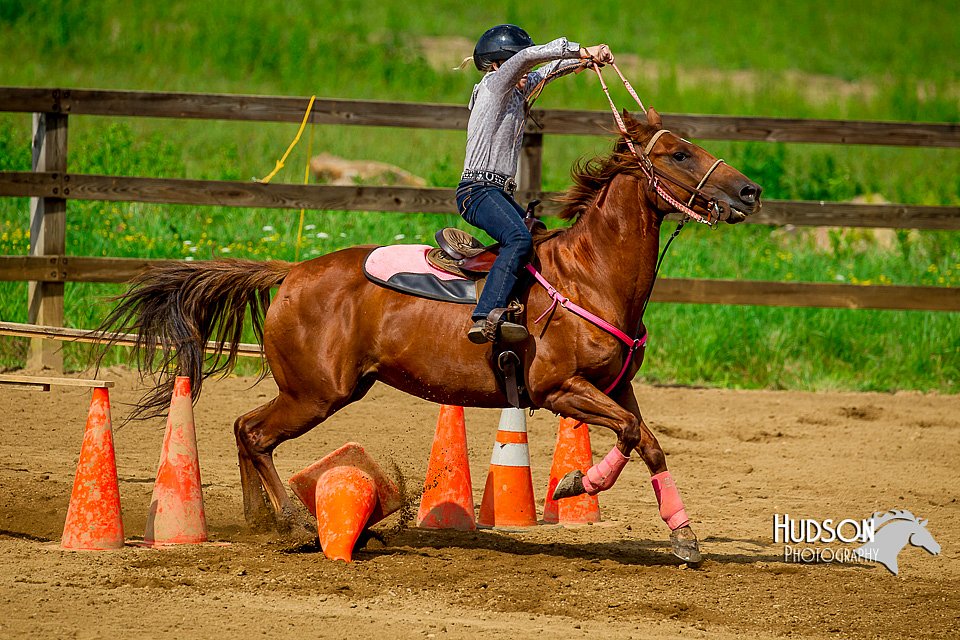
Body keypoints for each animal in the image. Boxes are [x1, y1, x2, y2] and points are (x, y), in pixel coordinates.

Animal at [97, 107, 756, 564]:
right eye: (679, 154)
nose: (748, 191)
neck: (590, 275)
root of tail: (292, 272)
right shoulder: (557, 389)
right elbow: (629, 435)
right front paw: (577, 483)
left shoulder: (616, 388)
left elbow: (647, 441)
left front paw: (684, 538)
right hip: (315, 393)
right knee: (253, 432)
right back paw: (294, 523)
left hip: (321, 391)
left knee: (245, 432)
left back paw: (263, 524)